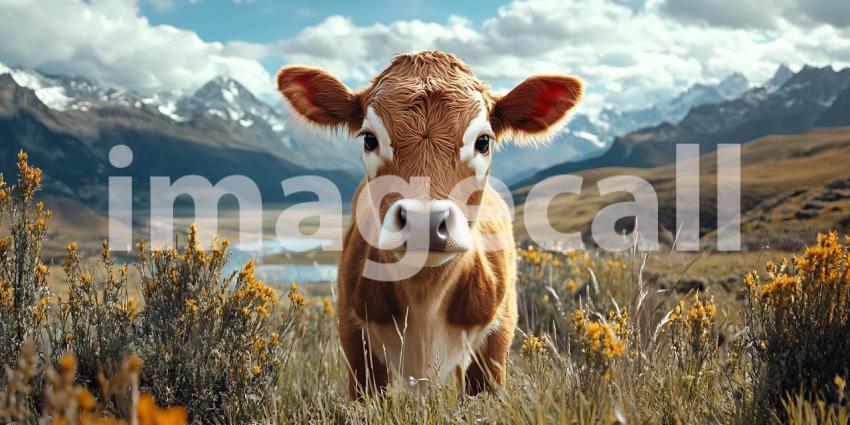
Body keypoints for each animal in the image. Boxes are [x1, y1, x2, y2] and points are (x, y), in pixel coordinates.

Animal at [276, 51, 582, 398]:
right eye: (369, 139)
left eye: (483, 141)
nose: (425, 221)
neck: (425, 295)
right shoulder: (356, 342)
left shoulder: (496, 340)